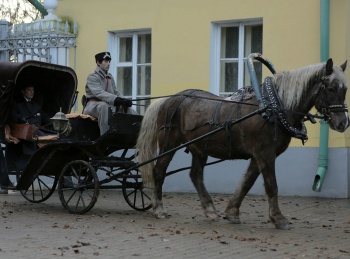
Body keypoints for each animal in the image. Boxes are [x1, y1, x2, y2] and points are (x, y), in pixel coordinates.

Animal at [135, 58, 348, 230]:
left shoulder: (258, 156)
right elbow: (271, 185)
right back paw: (159, 208)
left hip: (199, 148)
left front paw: (232, 212)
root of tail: (168, 100)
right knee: (159, 171)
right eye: (330, 88)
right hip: (169, 144)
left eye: (344, 89)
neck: (273, 108)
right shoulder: (265, 154)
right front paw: (279, 219)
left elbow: (247, 183)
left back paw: (209, 209)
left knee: (195, 175)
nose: (343, 123)